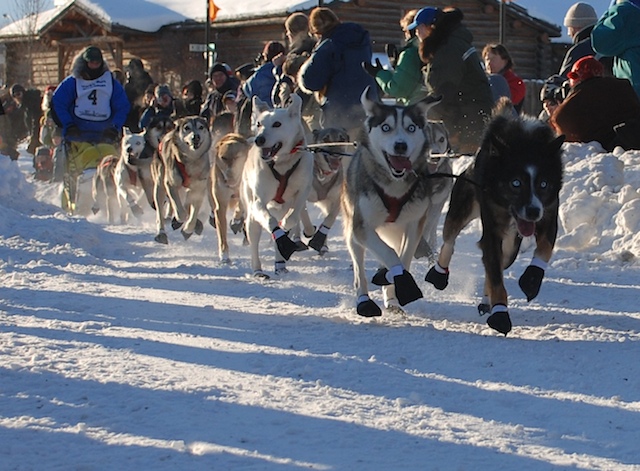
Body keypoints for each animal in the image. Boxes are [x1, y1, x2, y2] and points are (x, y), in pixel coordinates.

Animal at [151, 116, 211, 245]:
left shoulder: (199, 190)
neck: (192, 162)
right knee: (160, 211)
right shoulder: (170, 184)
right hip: (160, 186)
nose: (196, 136)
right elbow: (180, 211)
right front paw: (179, 220)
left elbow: (193, 215)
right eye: (187, 128)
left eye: (201, 127)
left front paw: (187, 229)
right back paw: (161, 233)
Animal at [211, 133, 249, 264]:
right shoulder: (220, 206)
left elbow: (241, 207)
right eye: (224, 158)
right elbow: (222, 234)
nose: (229, 174)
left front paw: (236, 219)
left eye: (237, 157)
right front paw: (224, 255)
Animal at [241, 95, 314, 280]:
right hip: (251, 217)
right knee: (254, 239)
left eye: (277, 124)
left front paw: (284, 231)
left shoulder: (301, 194)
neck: (281, 164)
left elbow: (292, 218)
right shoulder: (258, 202)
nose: (259, 139)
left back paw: (280, 264)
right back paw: (258, 270)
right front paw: (280, 233)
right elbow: (270, 221)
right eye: (259, 124)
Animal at [342, 86, 442, 318]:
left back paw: (391, 297)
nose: (400, 145)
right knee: (360, 268)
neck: (394, 187)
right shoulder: (362, 228)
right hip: (353, 233)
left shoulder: (414, 224)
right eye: (386, 127)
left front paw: (396, 283)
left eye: (411, 128)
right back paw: (364, 301)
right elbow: (390, 254)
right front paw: (398, 280)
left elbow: (403, 258)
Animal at [428, 103, 564, 336]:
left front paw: (531, 280)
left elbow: (544, 250)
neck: (525, 144)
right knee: (450, 241)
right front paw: (501, 314)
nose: (532, 211)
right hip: (462, 210)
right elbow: (495, 276)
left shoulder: (548, 215)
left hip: (510, 246)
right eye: (516, 183)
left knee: (497, 264)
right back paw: (439, 274)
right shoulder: (492, 229)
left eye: (543, 184)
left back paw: (485, 300)